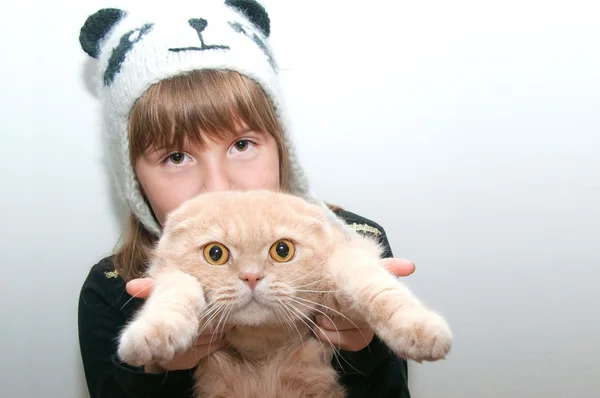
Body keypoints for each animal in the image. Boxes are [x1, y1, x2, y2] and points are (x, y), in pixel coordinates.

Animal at [117, 190, 450, 398]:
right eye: (215, 254)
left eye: (282, 250)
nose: (251, 277)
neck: (261, 348)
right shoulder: (169, 276)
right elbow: (175, 295)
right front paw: (153, 334)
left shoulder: (349, 257)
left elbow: (377, 289)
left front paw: (419, 330)